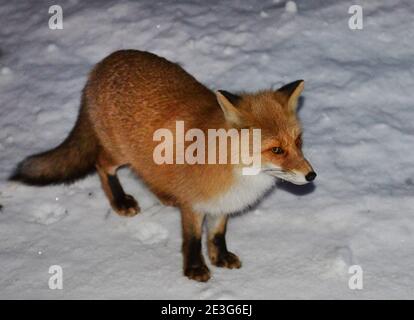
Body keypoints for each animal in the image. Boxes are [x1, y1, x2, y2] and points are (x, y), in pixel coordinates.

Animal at [10, 48, 314, 282]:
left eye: (299, 142)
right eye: (276, 150)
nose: (312, 176)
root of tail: (105, 61)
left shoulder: (221, 206)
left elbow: (217, 235)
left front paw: (220, 257)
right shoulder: (194, 205)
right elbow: (192, 240)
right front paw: (195, 269)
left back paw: (166, 195)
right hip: (120, 153)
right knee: (102, 164)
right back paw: (120, 201)